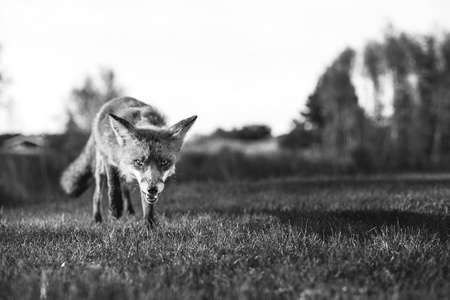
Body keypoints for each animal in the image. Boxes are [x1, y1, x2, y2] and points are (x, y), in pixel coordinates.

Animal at [59, 96, 196, 225]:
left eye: (164, 163)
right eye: (139, 162)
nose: (152, 189)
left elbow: (147, 205)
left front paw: (149, 225)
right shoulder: (110, 156)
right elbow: (113, 184)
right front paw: (116, 207)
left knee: (125, 188)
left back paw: (130, 211)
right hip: (100, 168)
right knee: (97, 194)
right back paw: (97, 218)